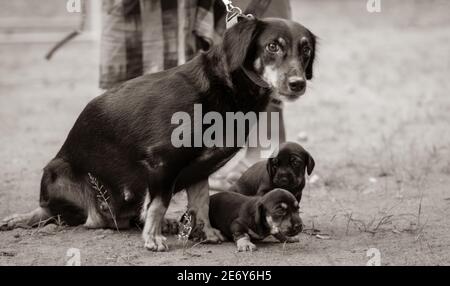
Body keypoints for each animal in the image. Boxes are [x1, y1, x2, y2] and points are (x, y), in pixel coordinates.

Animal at [0, 16, 316, 251]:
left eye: (306, 50)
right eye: (272, 46)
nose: (298, 84)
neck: (226, 88)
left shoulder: (201, 167)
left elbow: (201, 202)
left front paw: (208, 232)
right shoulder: (163, 161)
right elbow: (158, 204)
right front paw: (152, 239)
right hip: (58, 173)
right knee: (53, 212)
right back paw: (18, 218)